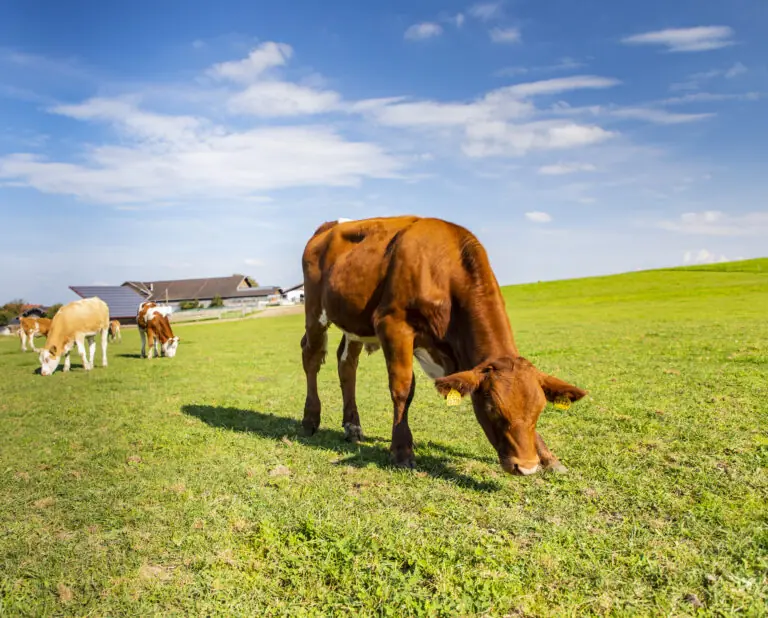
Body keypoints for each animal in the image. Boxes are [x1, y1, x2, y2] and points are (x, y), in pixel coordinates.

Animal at [300, 216, 587, 476]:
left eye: (539, 410)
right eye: (492, 410)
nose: (525, 467)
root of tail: (330, 225)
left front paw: (549, 458)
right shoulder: (393, 325)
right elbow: (403, 389)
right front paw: (402, 452)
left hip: (353, 325)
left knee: (346, 364)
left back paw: (352, 427)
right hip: (315, 311)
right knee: (311, 356)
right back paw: (310, 419)